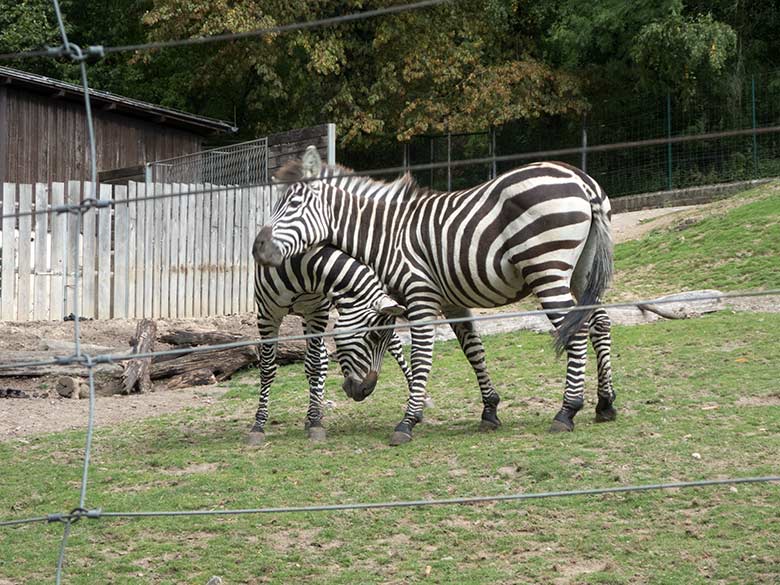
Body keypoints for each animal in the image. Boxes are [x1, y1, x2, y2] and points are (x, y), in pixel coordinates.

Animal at [251, 242, 412, 442]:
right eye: (373, 337)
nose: (366, 390)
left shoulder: (317, 311)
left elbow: (313, 365)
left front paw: (315, 423)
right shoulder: (267, 314)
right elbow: (268, 369)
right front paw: (259, 425)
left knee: (395, 342)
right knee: (323, 357)